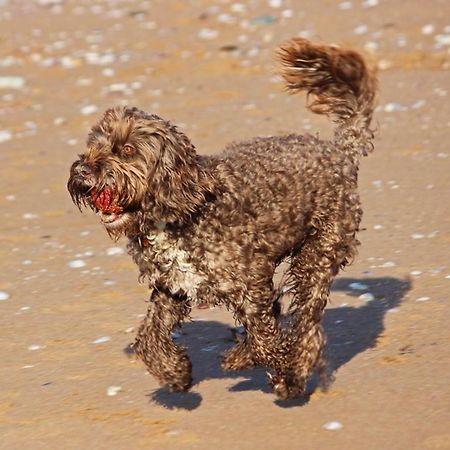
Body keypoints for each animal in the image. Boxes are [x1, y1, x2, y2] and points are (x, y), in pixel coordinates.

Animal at [67, 37, 376, 398]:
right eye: (94, 145)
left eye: (127, 150)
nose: (81, 170)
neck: (182, 210)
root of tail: (339, 152)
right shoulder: (173, 287)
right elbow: (149, 338)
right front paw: (175, 372)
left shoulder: (250, 282)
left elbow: (266, 337)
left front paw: (284, 373)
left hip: (317, 254)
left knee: (305, 321)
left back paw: (293, 369)